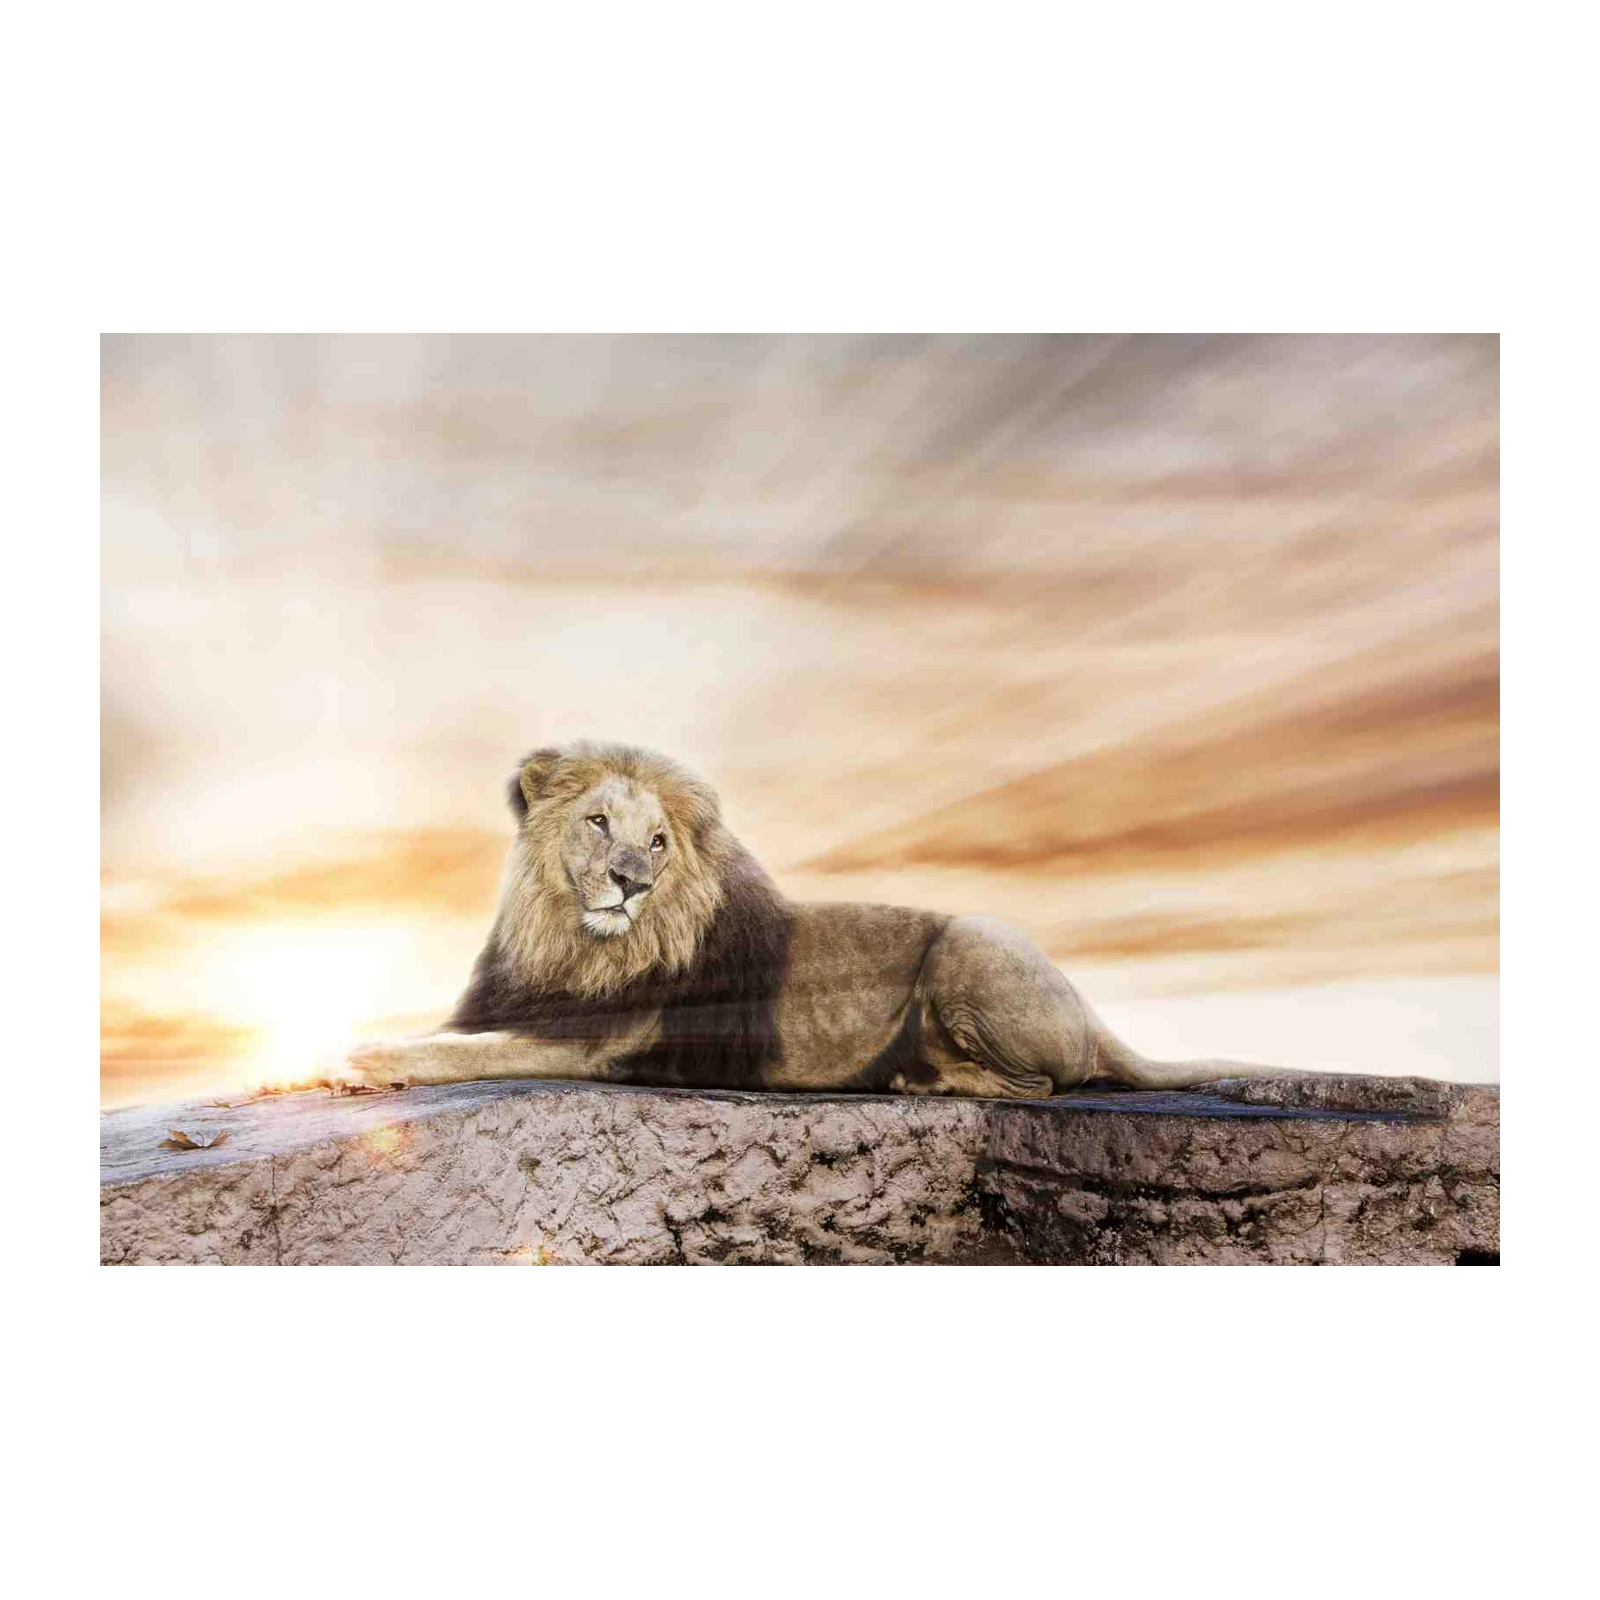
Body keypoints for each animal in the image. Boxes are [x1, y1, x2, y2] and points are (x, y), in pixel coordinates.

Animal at [336, 741, 1298, 1099]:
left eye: (659, 841)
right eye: (598, 823)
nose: (630, 883)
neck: (575, 942)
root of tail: (1095, 1016)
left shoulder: (599, 1043)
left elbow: (460, 1053)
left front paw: (354, 1059)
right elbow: (453, 1035)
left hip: (974, 939)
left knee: (1044, 1085)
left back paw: (925, 1081)